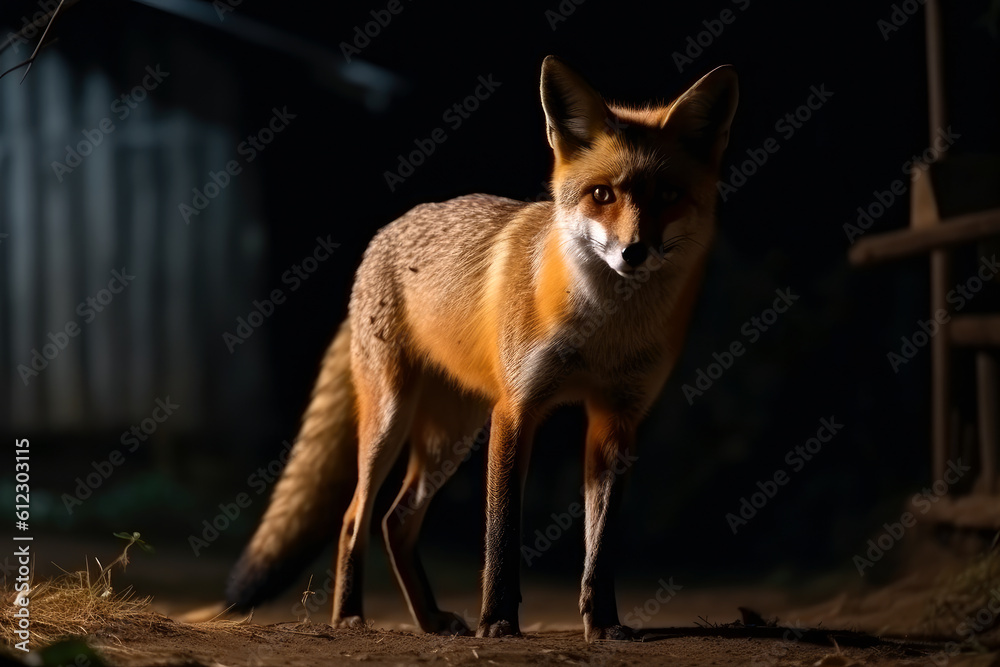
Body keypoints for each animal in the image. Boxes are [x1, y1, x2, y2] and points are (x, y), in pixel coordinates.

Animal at [226, 56, 738, 641]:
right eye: (602, 195)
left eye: (669, 196)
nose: (634, 252)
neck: (603, 333)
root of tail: (385, 231)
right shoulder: (516, 409)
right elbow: (502, 533)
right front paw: (497, 621)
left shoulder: (616, 421)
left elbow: (601, 545)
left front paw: (604, 624)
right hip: (391, 421)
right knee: (356, 515)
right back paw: (350, 615)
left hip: (450, 436)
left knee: (396, 521)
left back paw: (428, 619)